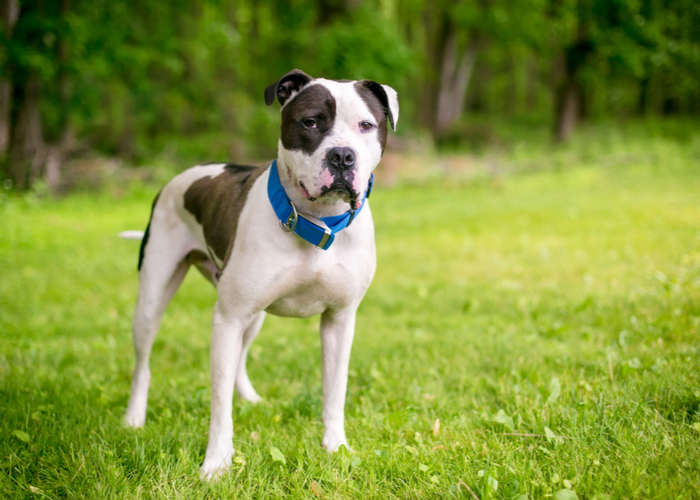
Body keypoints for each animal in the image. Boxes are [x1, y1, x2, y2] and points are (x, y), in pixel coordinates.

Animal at [120, 68, 400, 478]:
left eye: (366, 125)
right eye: (310, 122)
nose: (342, 156)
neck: (318, 222)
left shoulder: (339, 320)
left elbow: (335, 390)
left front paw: (335, 447)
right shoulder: (227, 318)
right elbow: (219, 404)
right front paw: (216, 464)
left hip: (253, 317)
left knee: (240, 355)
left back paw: (250, 398)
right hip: (153, 299)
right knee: (143, 365)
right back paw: (133, 419)